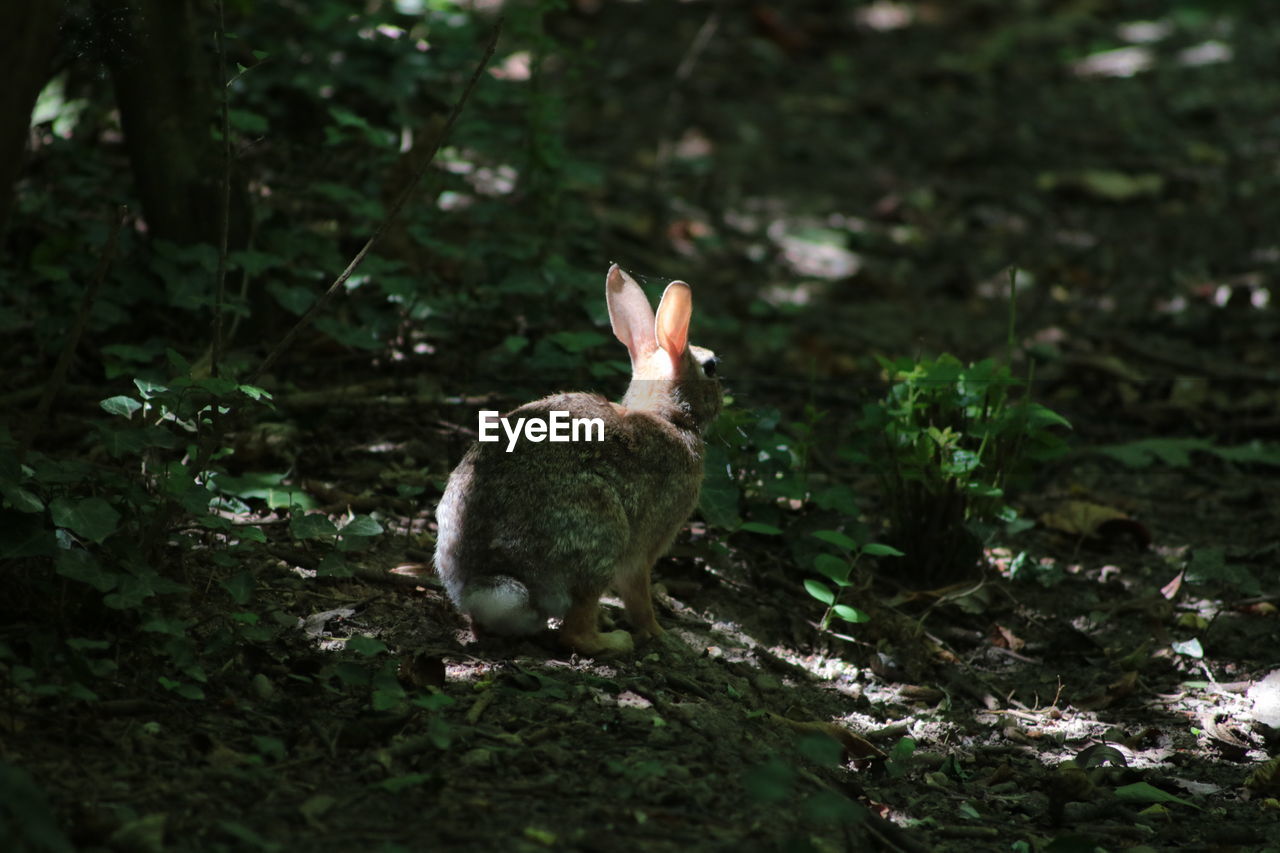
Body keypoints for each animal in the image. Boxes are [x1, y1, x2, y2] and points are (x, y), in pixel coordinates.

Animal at [435, 262, 721, 653]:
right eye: (711, 367)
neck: (668, 417)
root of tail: (481, 585)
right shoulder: (643, 549)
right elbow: (639, 595)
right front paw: (663, 636)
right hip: (601, 533)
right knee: (575, 633)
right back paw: (615, 641)